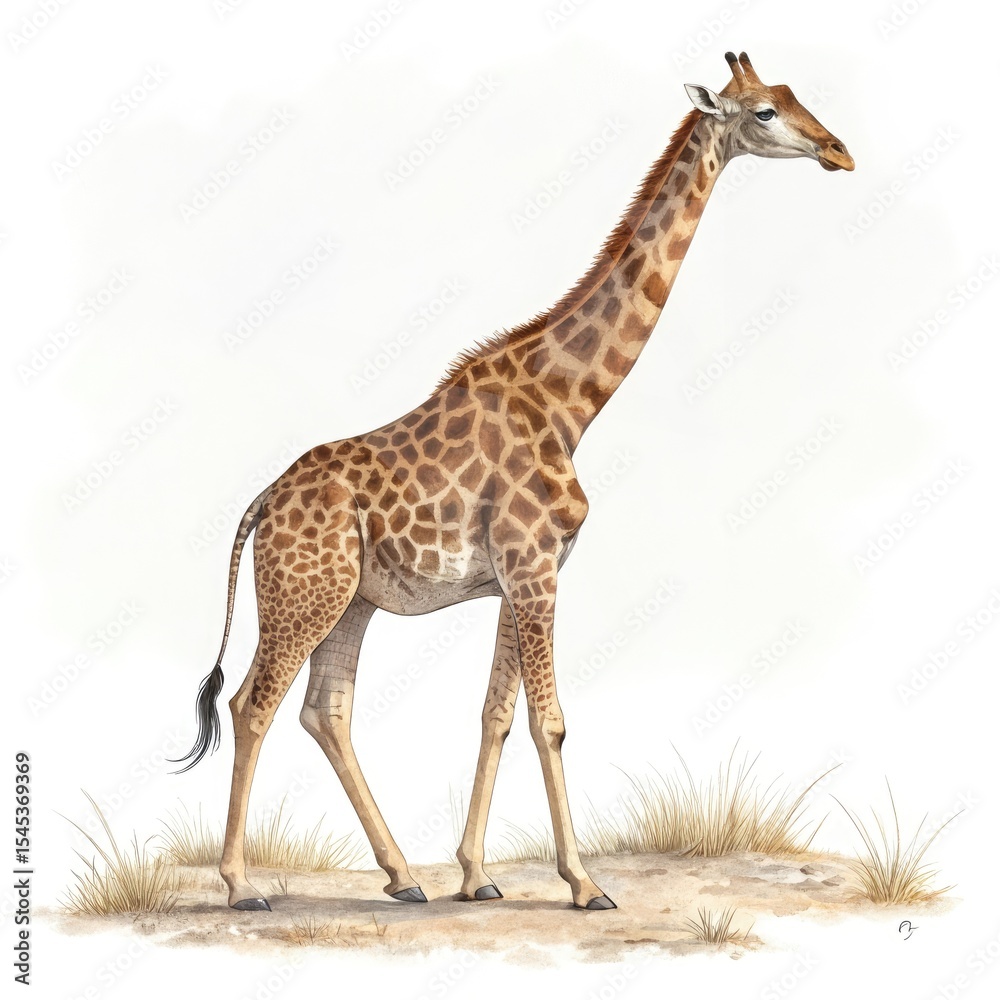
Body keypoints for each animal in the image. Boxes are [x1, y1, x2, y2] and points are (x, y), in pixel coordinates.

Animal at [175, 51, 853, 911]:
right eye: (764, 110)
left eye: (796, 96)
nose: (839, 151)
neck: (570, 402)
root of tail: (262, 503)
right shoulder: (534, 570)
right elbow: (548, 720)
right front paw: (585, 883)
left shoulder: (519, 575)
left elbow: (496, 714)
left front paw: (474, 875)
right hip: (304, 596)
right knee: (251, 704)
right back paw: (241, 886)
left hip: (353, 602)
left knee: (325, 711)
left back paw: (404, 878)